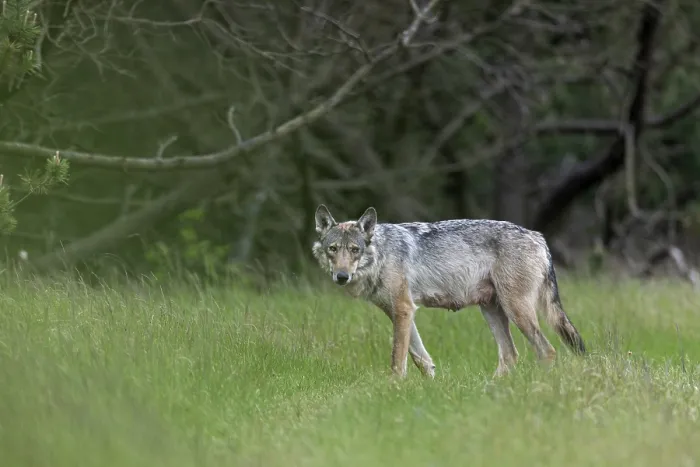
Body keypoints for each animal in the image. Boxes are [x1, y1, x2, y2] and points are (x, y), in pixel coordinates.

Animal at [312, 204, 586, 379]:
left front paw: (393, 388)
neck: (382, 254)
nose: (342, 276)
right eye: (333, 249)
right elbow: (420, 358)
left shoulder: (403, 309)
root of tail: (539, 237)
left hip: (516, 310)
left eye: (354, 250)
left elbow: (397, 358)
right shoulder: (400, 312)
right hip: (492, 311)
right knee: (510, 355)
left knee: (546, 351)